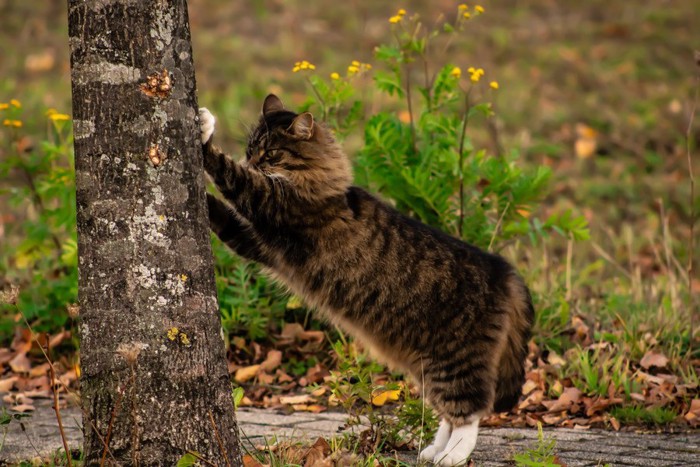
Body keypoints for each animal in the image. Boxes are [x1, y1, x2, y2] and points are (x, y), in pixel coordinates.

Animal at [200, 96, 532, 467]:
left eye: (271, 153)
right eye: (250, 148)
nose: (252, 161)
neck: (321, 182)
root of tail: (504, 270)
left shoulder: (271, 205)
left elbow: (233, 176)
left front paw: (204, 133)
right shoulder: (256, 242)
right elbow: (223, 214)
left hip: (456, 361)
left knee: (470, 413)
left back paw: (453, 455)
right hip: (430, 367)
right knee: (448, 413)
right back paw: (434, 450)